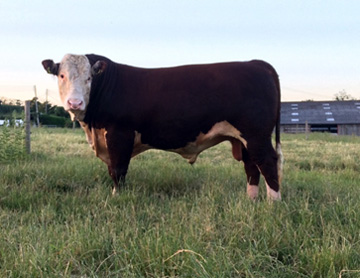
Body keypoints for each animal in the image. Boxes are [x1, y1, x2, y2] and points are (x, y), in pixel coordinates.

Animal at [42, 53, 282, 200]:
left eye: (89, 78)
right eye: (62, 75)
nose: (75, 103)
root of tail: (255, 63)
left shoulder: (120, 134)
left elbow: (118, 170)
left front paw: (116, 197)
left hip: (256, 135)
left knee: (268, 163)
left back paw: (272, 205)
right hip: (244, 139)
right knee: (252, 166)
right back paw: (251, 201)